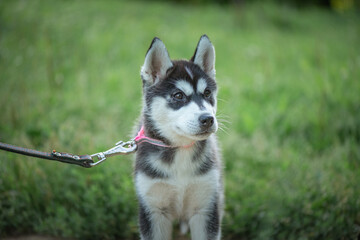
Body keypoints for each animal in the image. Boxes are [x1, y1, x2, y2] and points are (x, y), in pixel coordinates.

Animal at [135, 35, 224, 240]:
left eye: (207, 93)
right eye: (178, 95)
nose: (208, 119)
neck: (181, 151)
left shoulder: (206, 207)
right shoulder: (153, 210)